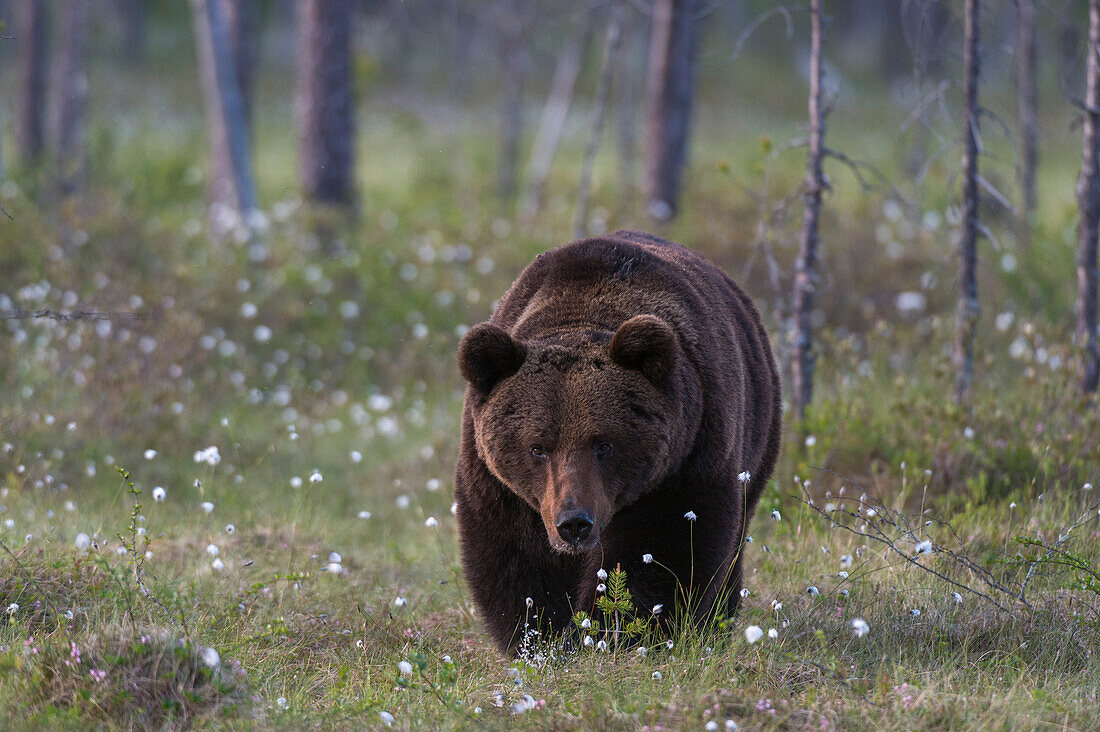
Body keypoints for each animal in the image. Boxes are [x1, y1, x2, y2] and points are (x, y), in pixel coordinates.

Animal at [451, 230, 778, 651]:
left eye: (603, 444)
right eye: (537, 447)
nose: (574, 523)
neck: (581, 310)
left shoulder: (684, 461)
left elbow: (660, 550)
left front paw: (609, 629)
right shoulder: (498, 483)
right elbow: (516, 557)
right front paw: (540, 635)